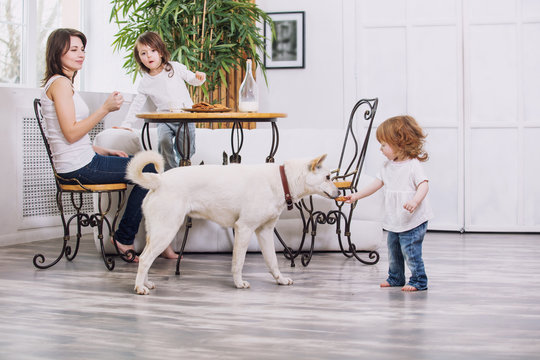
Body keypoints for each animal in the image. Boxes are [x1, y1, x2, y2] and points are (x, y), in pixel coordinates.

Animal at [126, 150, 338, 294]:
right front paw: (238, 283)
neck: (282, 179)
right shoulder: (244, 229)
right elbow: (239, 261)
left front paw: (280, 280)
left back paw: (145, 283)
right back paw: (139, 288)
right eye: (328, 177)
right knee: (145, 259)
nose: (339, 192)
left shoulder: (265, 232)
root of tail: (159, 180)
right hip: (166, 231)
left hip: (156, 233)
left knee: (145, 256)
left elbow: (272, 261)